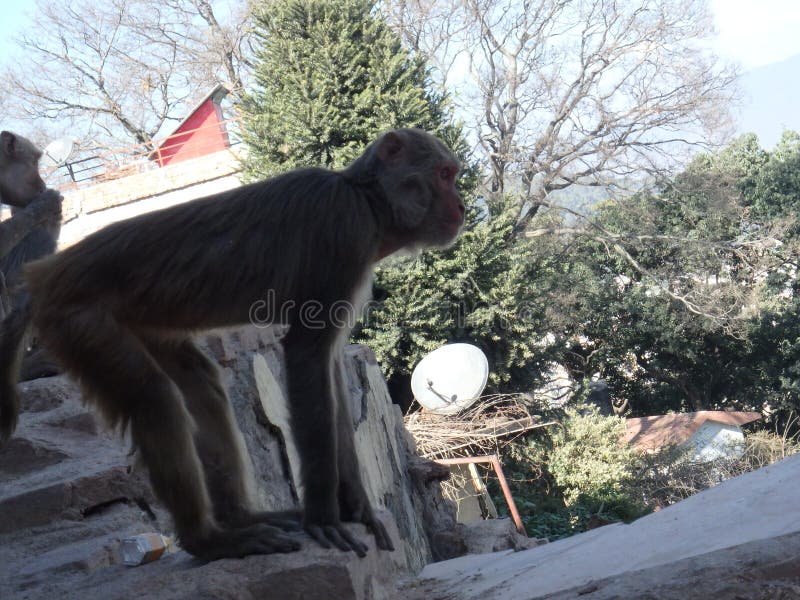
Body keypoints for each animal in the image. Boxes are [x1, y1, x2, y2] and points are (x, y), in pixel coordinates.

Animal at [0, 127, 462, 564]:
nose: (460, 207)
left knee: (202, 384)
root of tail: (47, 274)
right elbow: (307, 355)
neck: (364, 199)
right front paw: (324, 517)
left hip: (139, 316)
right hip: (79, 317)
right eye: (444, 175)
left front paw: (358, 507)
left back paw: (240, 519)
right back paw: (207, 541)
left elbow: (330, 366)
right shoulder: (342, 231)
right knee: (155, 398)